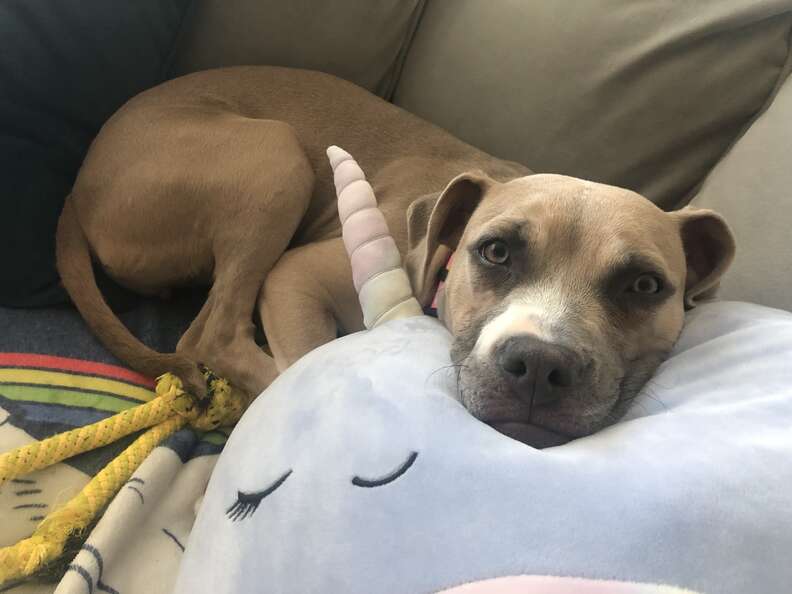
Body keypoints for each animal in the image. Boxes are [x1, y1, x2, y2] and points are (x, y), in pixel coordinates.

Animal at [57, 66, 736, 444]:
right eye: (495, 252)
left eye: (644, 286)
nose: (541, 364)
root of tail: (76, 192)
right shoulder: (294, 276)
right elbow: (307, 359)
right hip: (275, 156)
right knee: (213, 334)